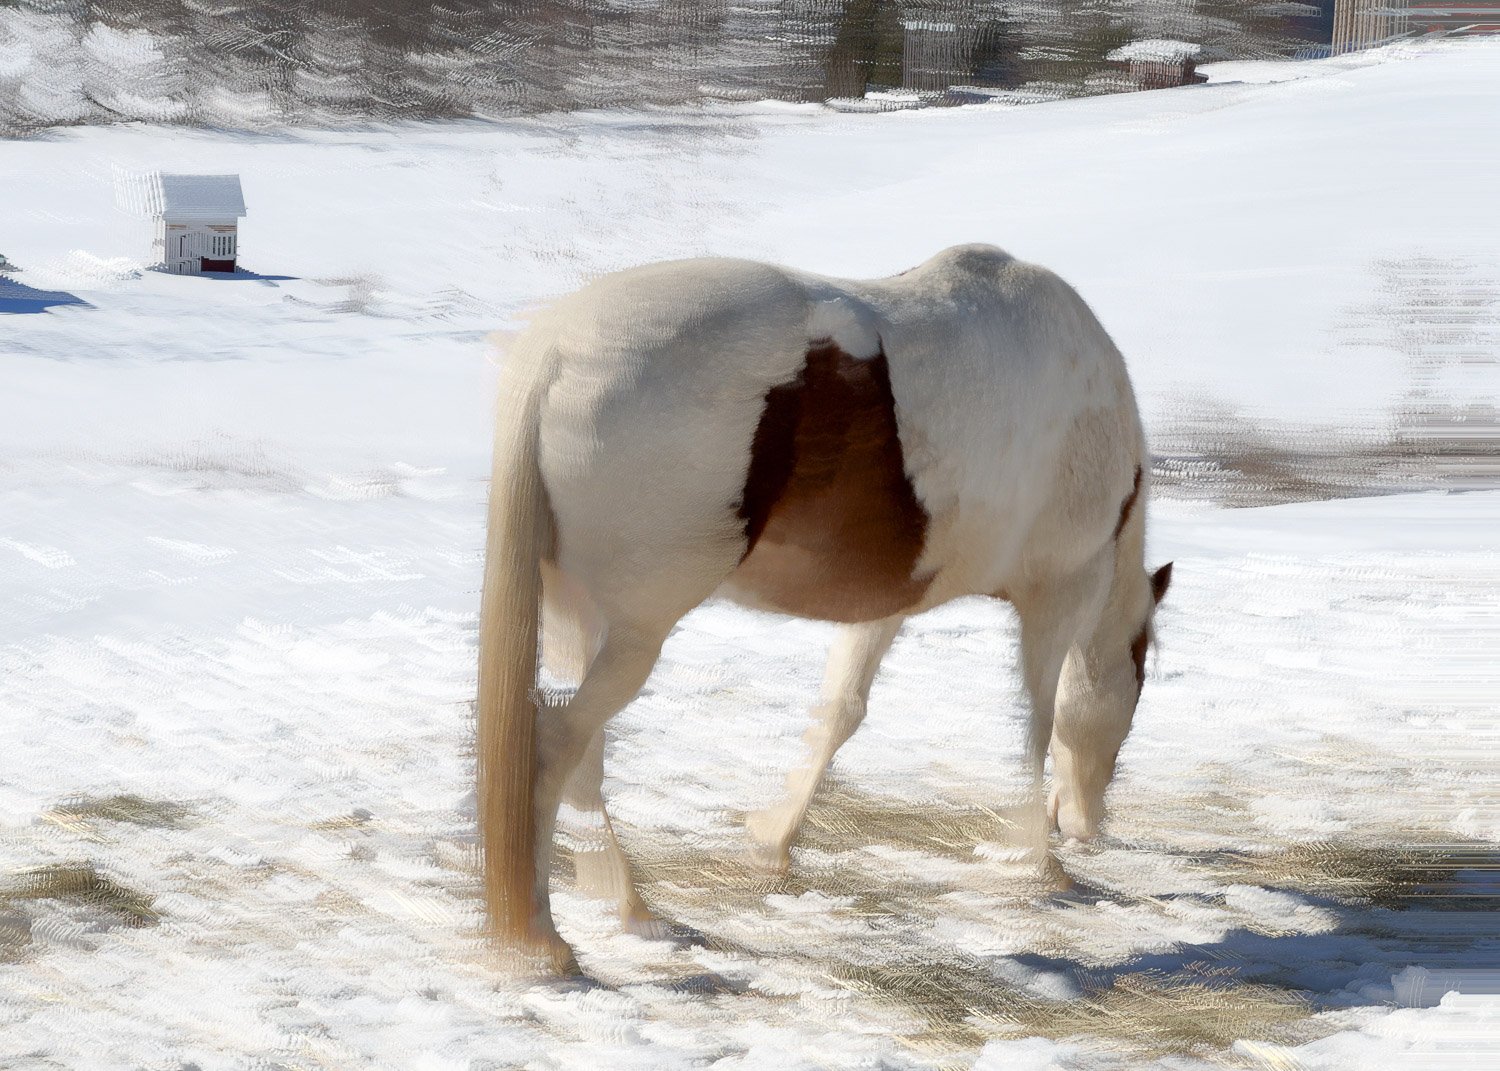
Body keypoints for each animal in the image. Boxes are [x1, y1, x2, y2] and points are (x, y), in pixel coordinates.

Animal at [477, 243, 1172, 973]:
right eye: (1138, 681)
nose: (1088, 825)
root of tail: (557, 348)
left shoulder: (884, 604)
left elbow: (841, 713)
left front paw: (772, 840)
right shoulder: (1059, 593)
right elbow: (1036, 726)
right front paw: (1037, 863)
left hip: (578, 619)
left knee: (582, 756)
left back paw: (629, 910)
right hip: (633, 631)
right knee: (557, 745)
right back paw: (548, 935)